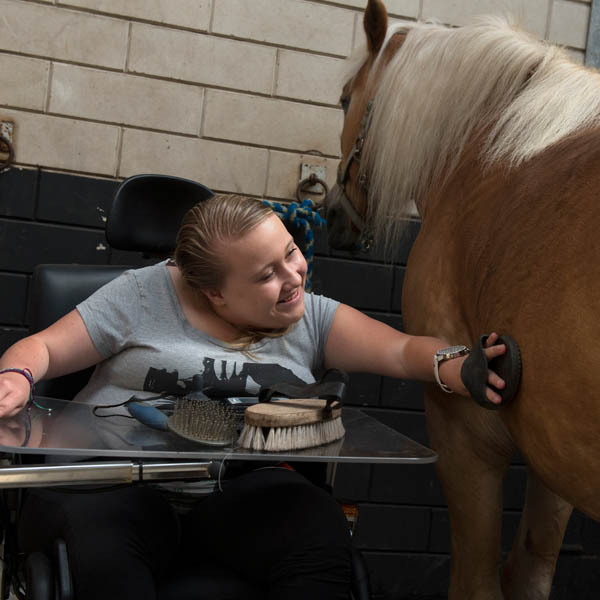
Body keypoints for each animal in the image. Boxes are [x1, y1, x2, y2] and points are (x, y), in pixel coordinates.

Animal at [326, 2, 600, 596]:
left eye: (344, 100)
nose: (333, 215)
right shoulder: (555, 448)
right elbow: (529, 571)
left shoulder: (465, 429)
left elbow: (476, 583)